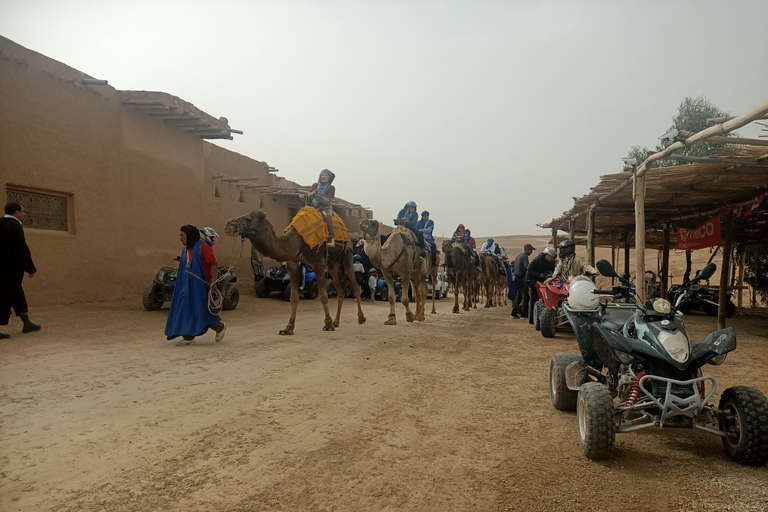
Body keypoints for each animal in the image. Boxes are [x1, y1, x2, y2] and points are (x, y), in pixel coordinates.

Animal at [228, 210, 366, 334]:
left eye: (249, 219)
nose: (230, 224)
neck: (296, 242)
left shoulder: (318, 264)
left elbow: (323, 295)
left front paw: (328, 324)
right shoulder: (292, 264)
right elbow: (293, 297)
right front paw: (288, 328)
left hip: (347, 254)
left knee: (354, 284)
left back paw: (361, 318)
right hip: (332, 262)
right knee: (340, 291)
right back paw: (336, 322)